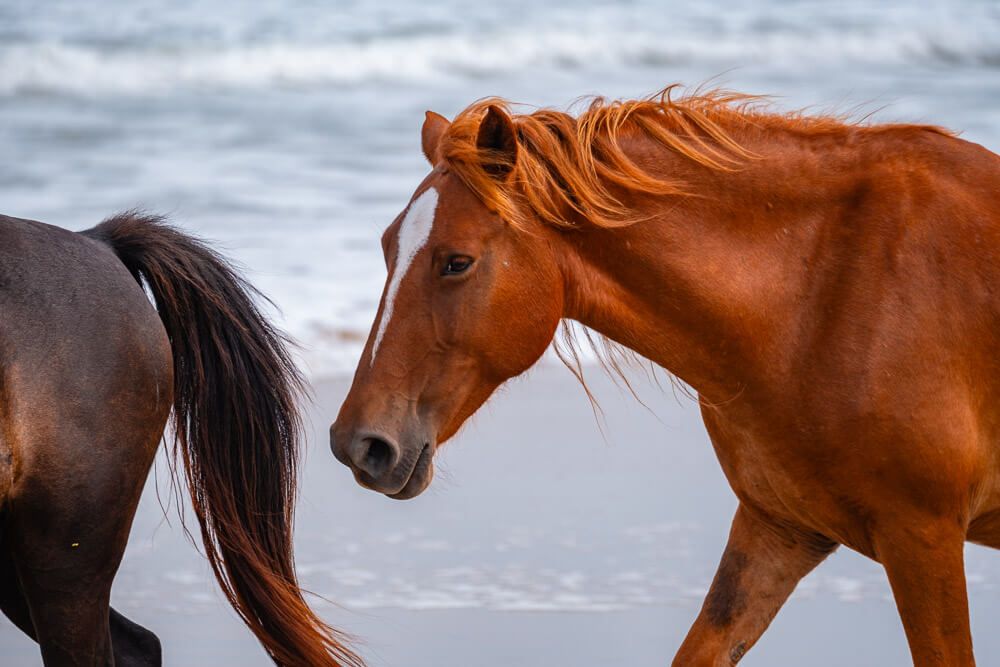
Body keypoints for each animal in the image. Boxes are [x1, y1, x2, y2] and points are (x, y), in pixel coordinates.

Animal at [332, 86, 1000, 664]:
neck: (824, 291)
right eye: (388, 247)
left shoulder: (921, 537)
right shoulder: (780, 528)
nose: (358, 444)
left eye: (456, 261)